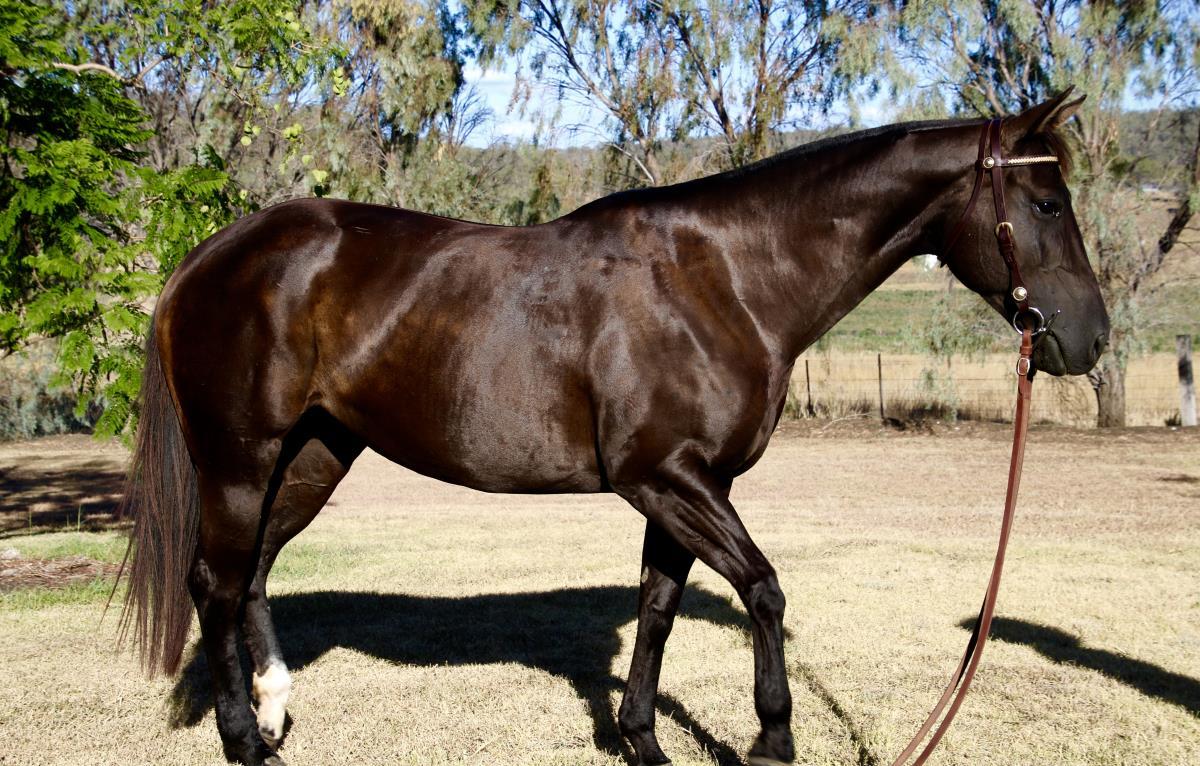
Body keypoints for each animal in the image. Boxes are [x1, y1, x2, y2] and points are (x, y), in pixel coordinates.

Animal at [118, 89, 1109, 766]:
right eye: (1049, 205)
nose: (1091, 339)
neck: (724, 280)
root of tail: (209, 258)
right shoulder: (667, 477)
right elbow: (764, 589)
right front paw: (771, 740)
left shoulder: (687, 486)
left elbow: (658, 611)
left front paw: (641, 739)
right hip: (241, 460)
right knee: (216, 581)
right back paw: (245, 740)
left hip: (315, 453)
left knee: (253, 572)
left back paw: (275, 714)